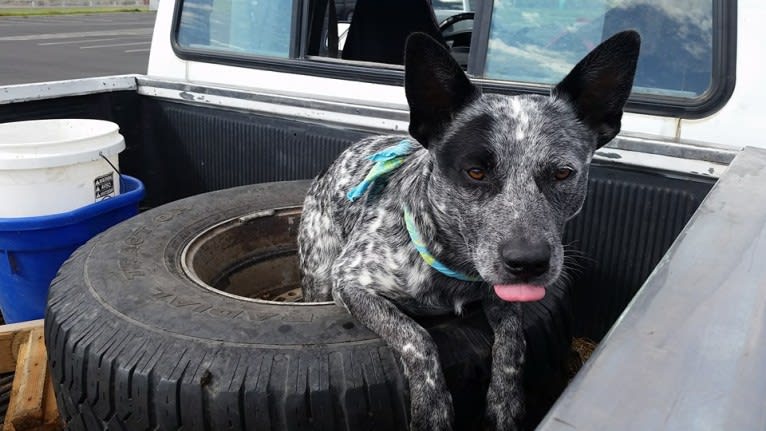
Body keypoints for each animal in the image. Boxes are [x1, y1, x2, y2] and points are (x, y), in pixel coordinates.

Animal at [300, 31, 640, 431]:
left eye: (562, 173)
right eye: (475, 172)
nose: (528, 263)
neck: (450, 265)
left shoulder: (504, 296)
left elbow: (514, 341)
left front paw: (505, 402)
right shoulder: (351, 283)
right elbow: (416, 337)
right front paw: (432, 407)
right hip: (319, 272)